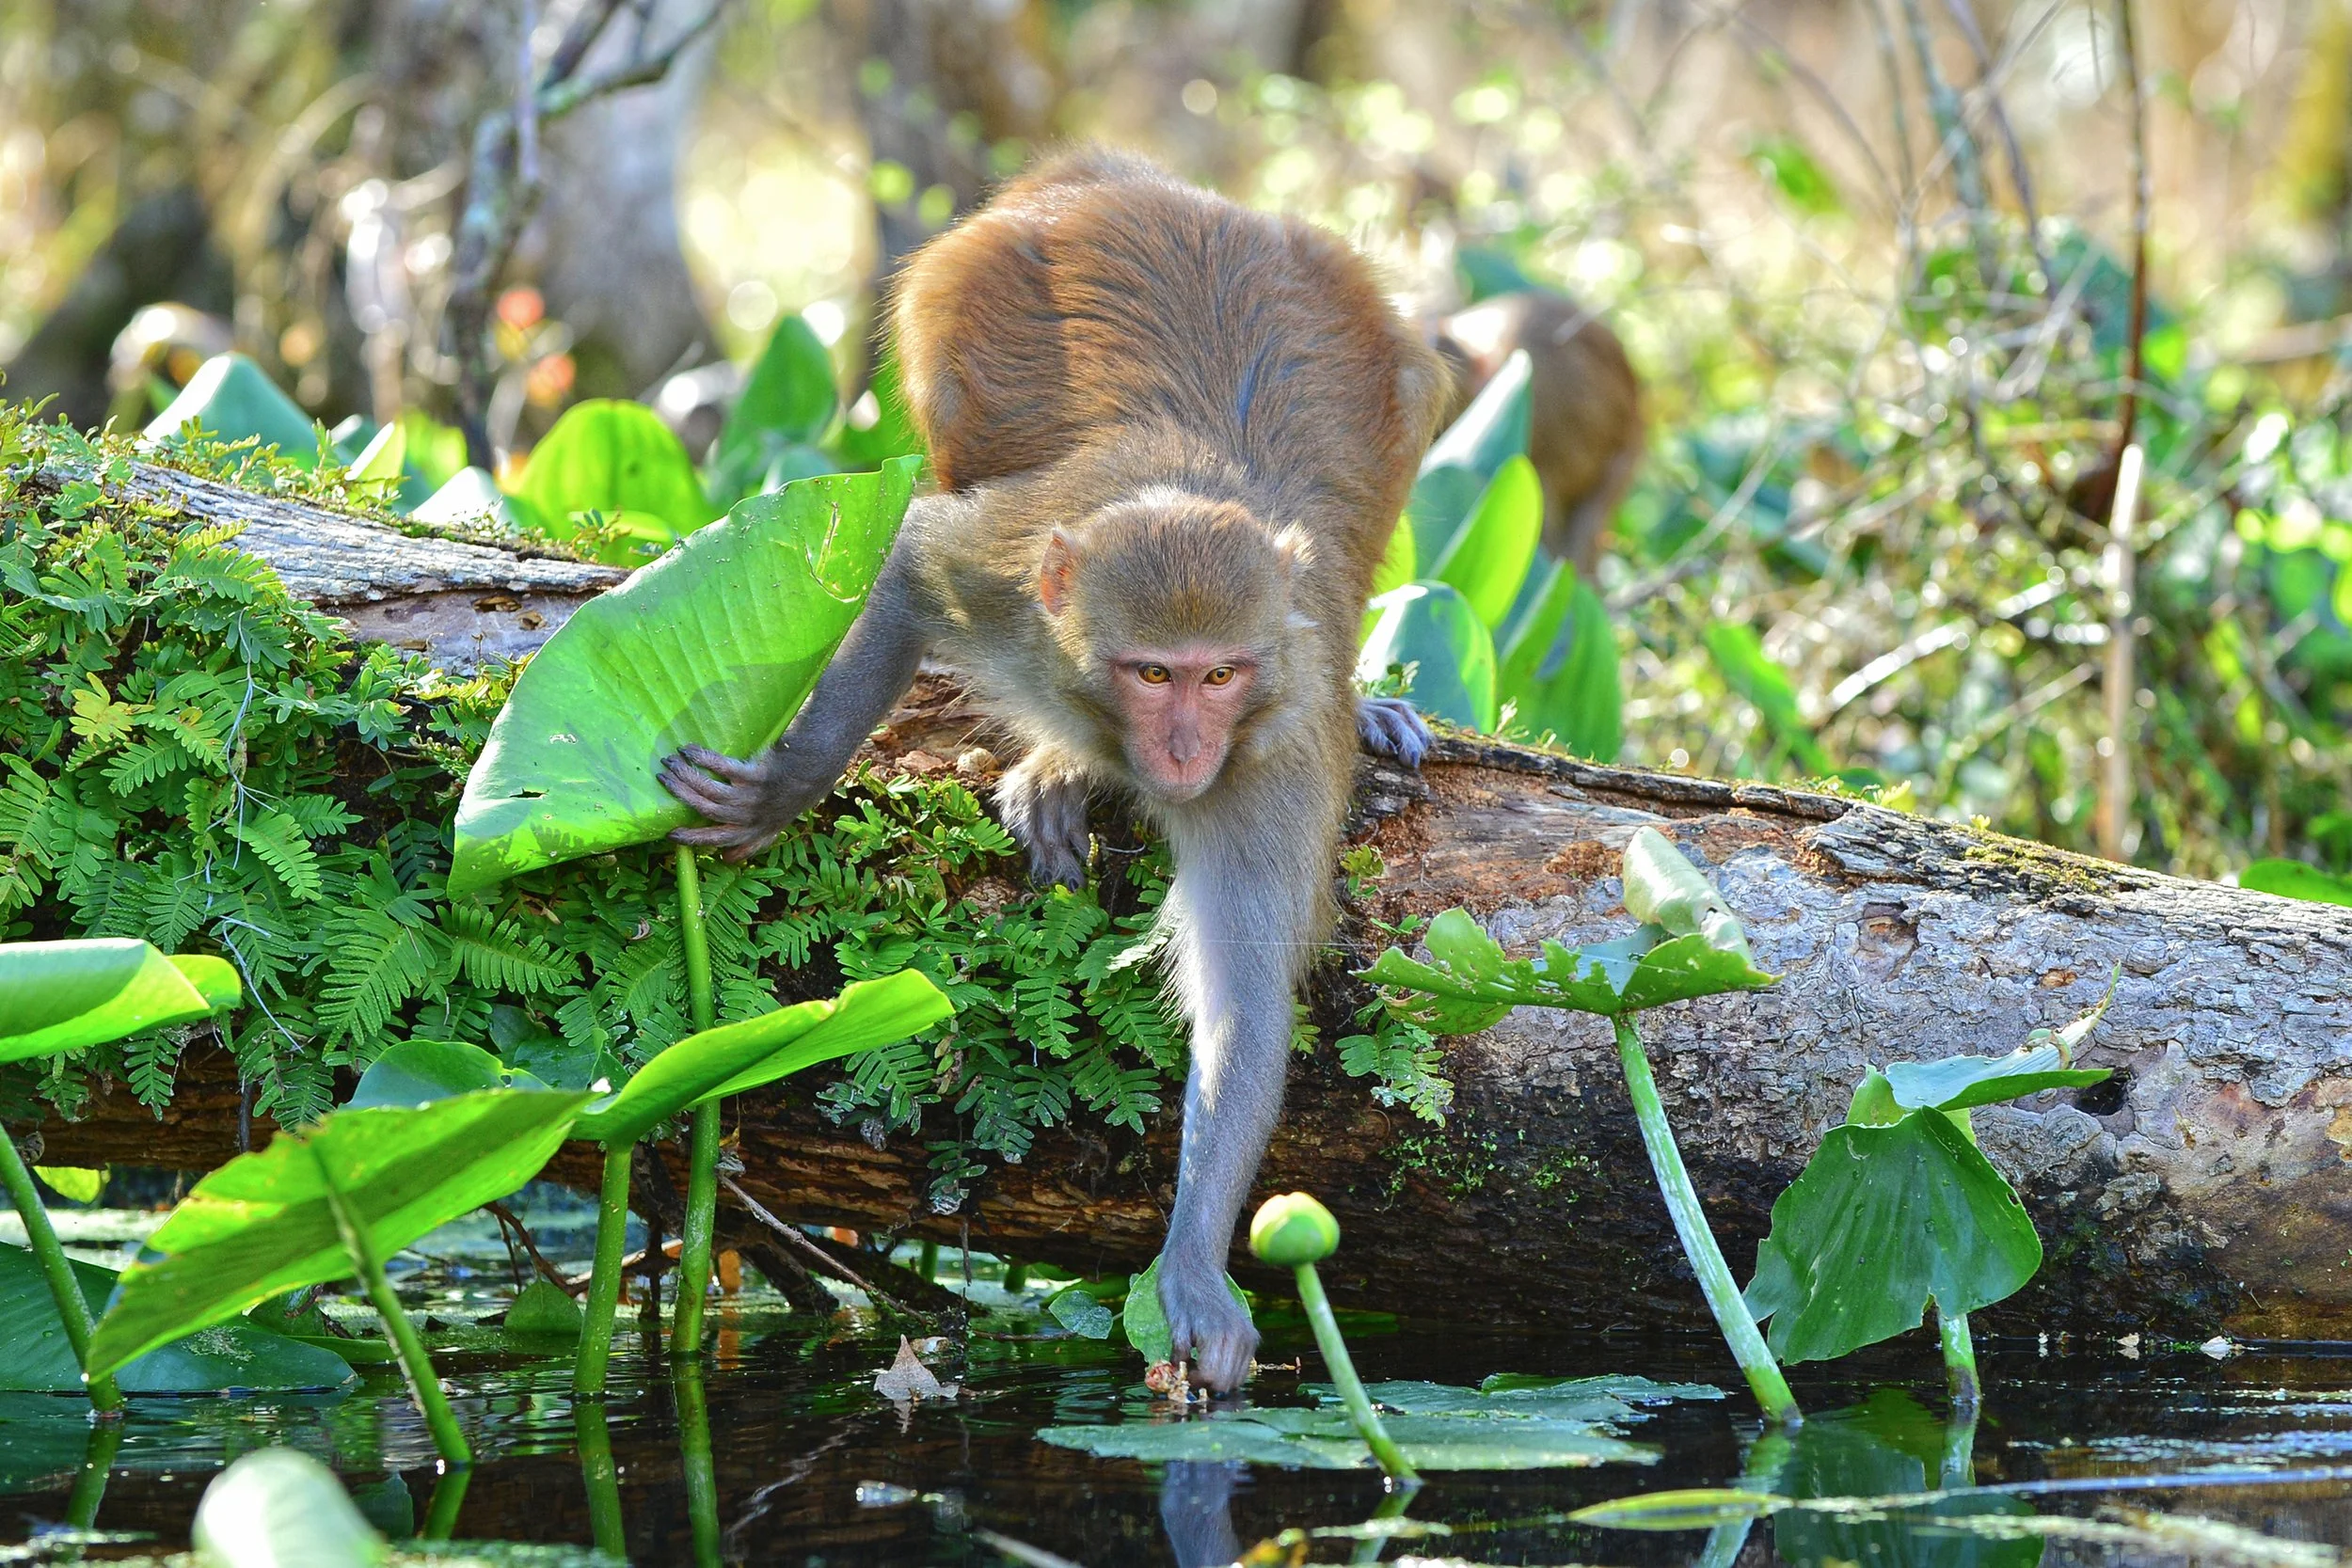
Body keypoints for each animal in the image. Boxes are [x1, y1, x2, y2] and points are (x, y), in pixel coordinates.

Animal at [657, 148, 1447, 1391]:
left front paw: (1191, 1260)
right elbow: (910, 562)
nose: (1183, 749)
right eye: (1152, 673)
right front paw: (787, 783)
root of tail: (1148, 184)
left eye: (1220, 675)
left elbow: (1243, 995)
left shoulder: (1272, 746)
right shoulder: (1004, 584)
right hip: (968, 293)